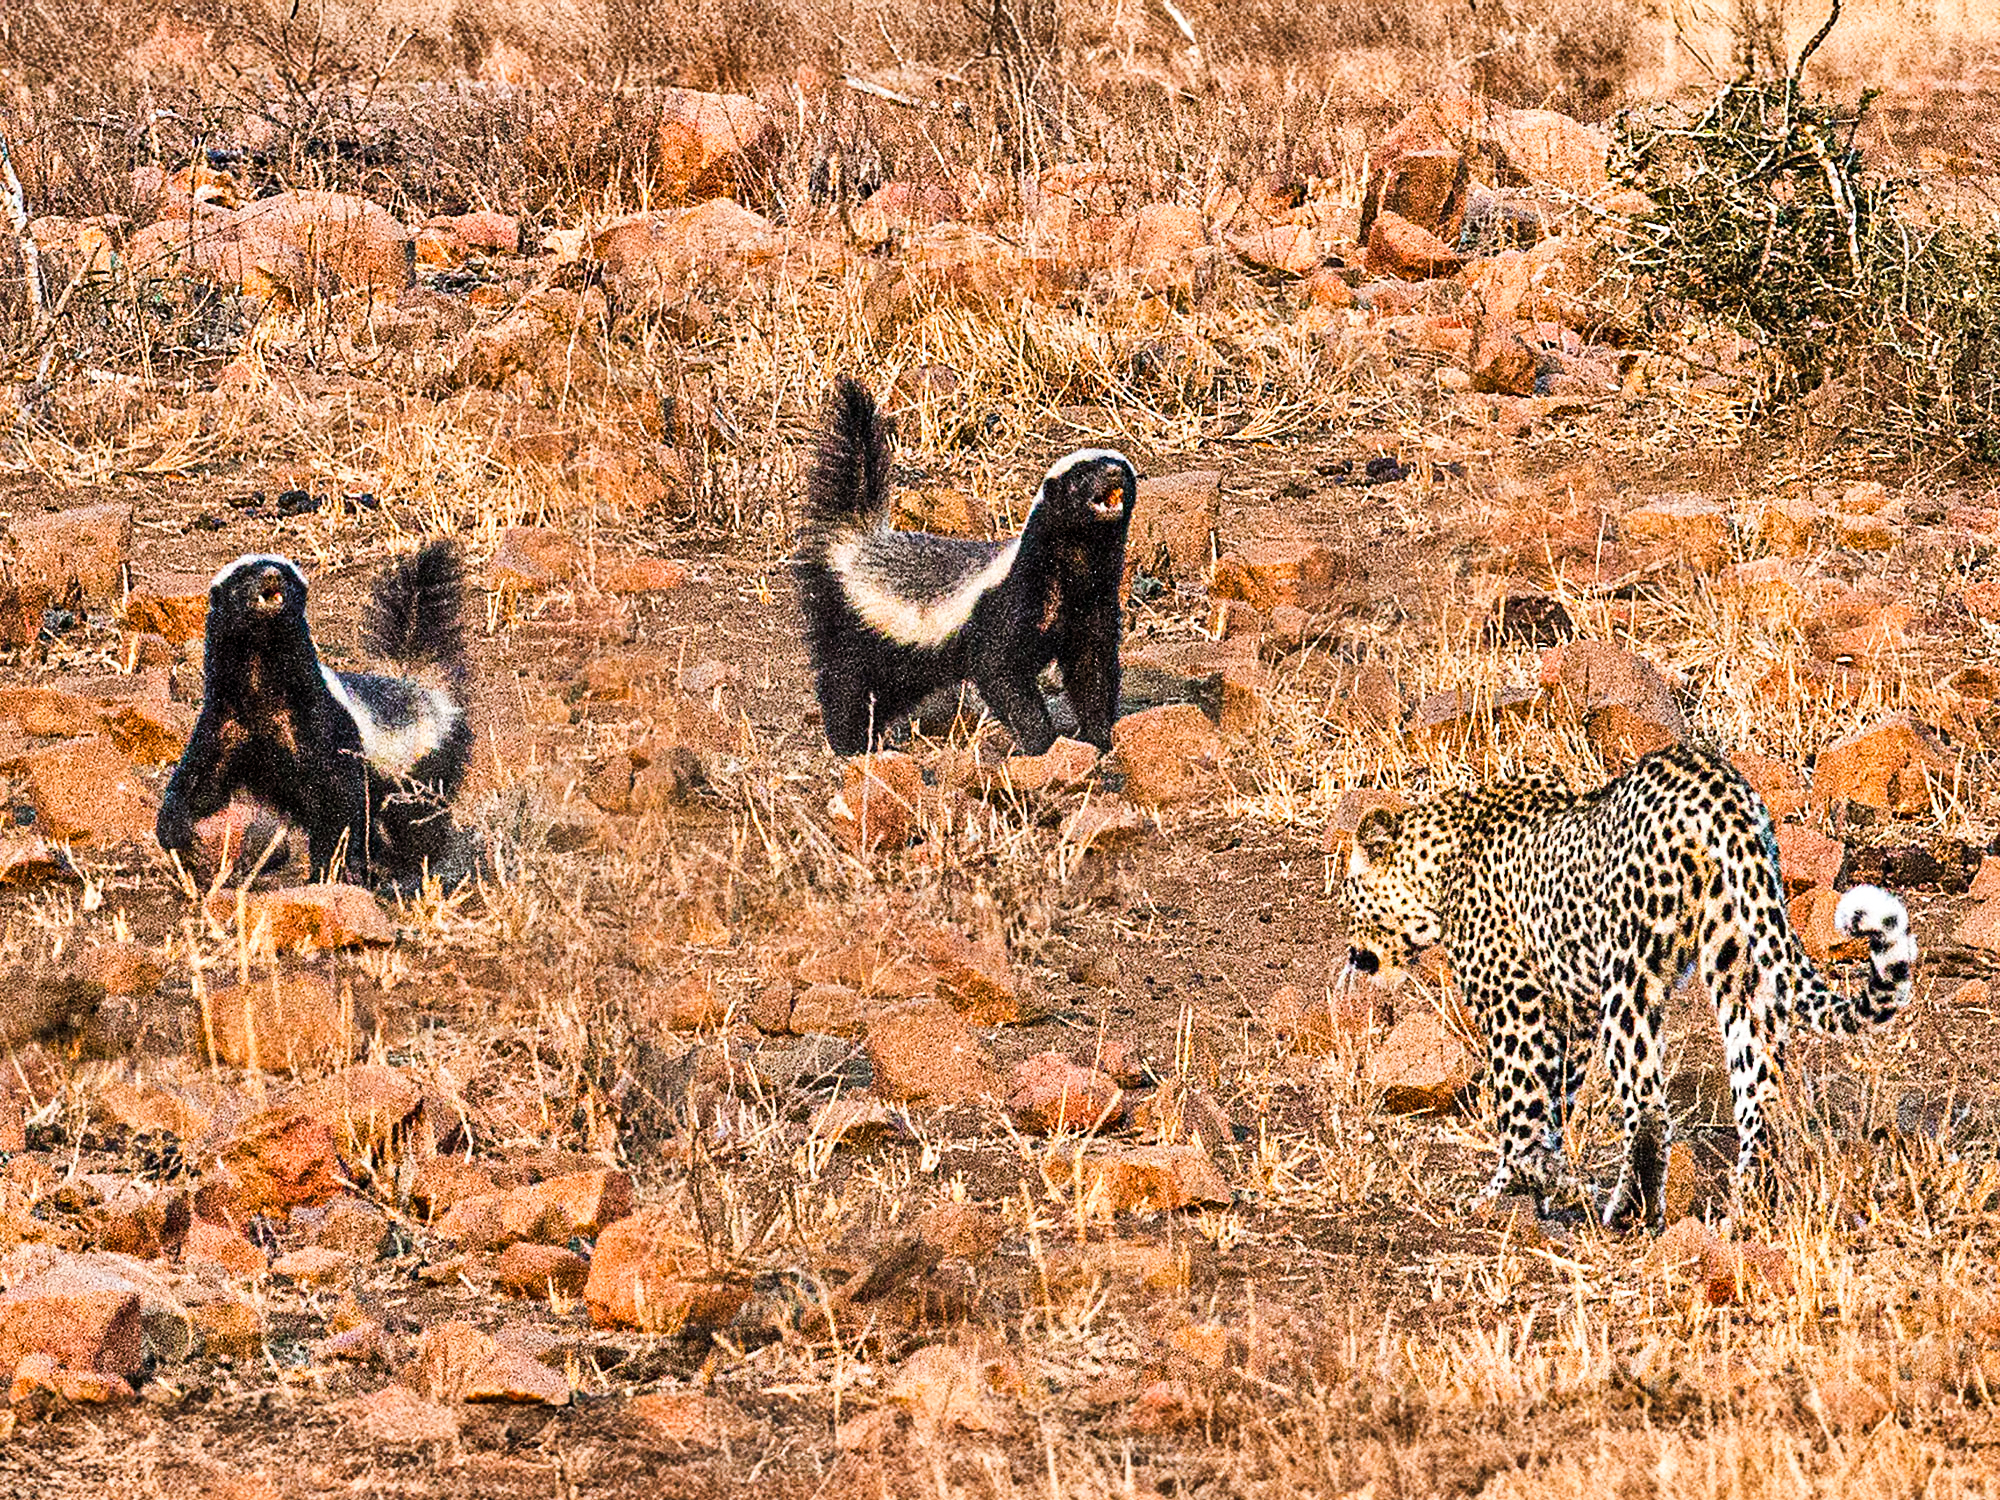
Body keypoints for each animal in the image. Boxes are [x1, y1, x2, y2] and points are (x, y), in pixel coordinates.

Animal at [1340, 742, 1916, 1231]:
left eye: (1347, 899)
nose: (1351, 953)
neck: (1439, 863)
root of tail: (1715, 787)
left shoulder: (1515, 1004)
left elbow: (1519, 1106)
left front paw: (1504, 1192)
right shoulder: (1571, 1010)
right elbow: (1554, 1103)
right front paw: (1545, 1181)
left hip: (1628, 974)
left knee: (1648, 1104)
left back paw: (1628, 1212)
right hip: (1742, 962)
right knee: (1760, 1095)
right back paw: (1748, 1208)